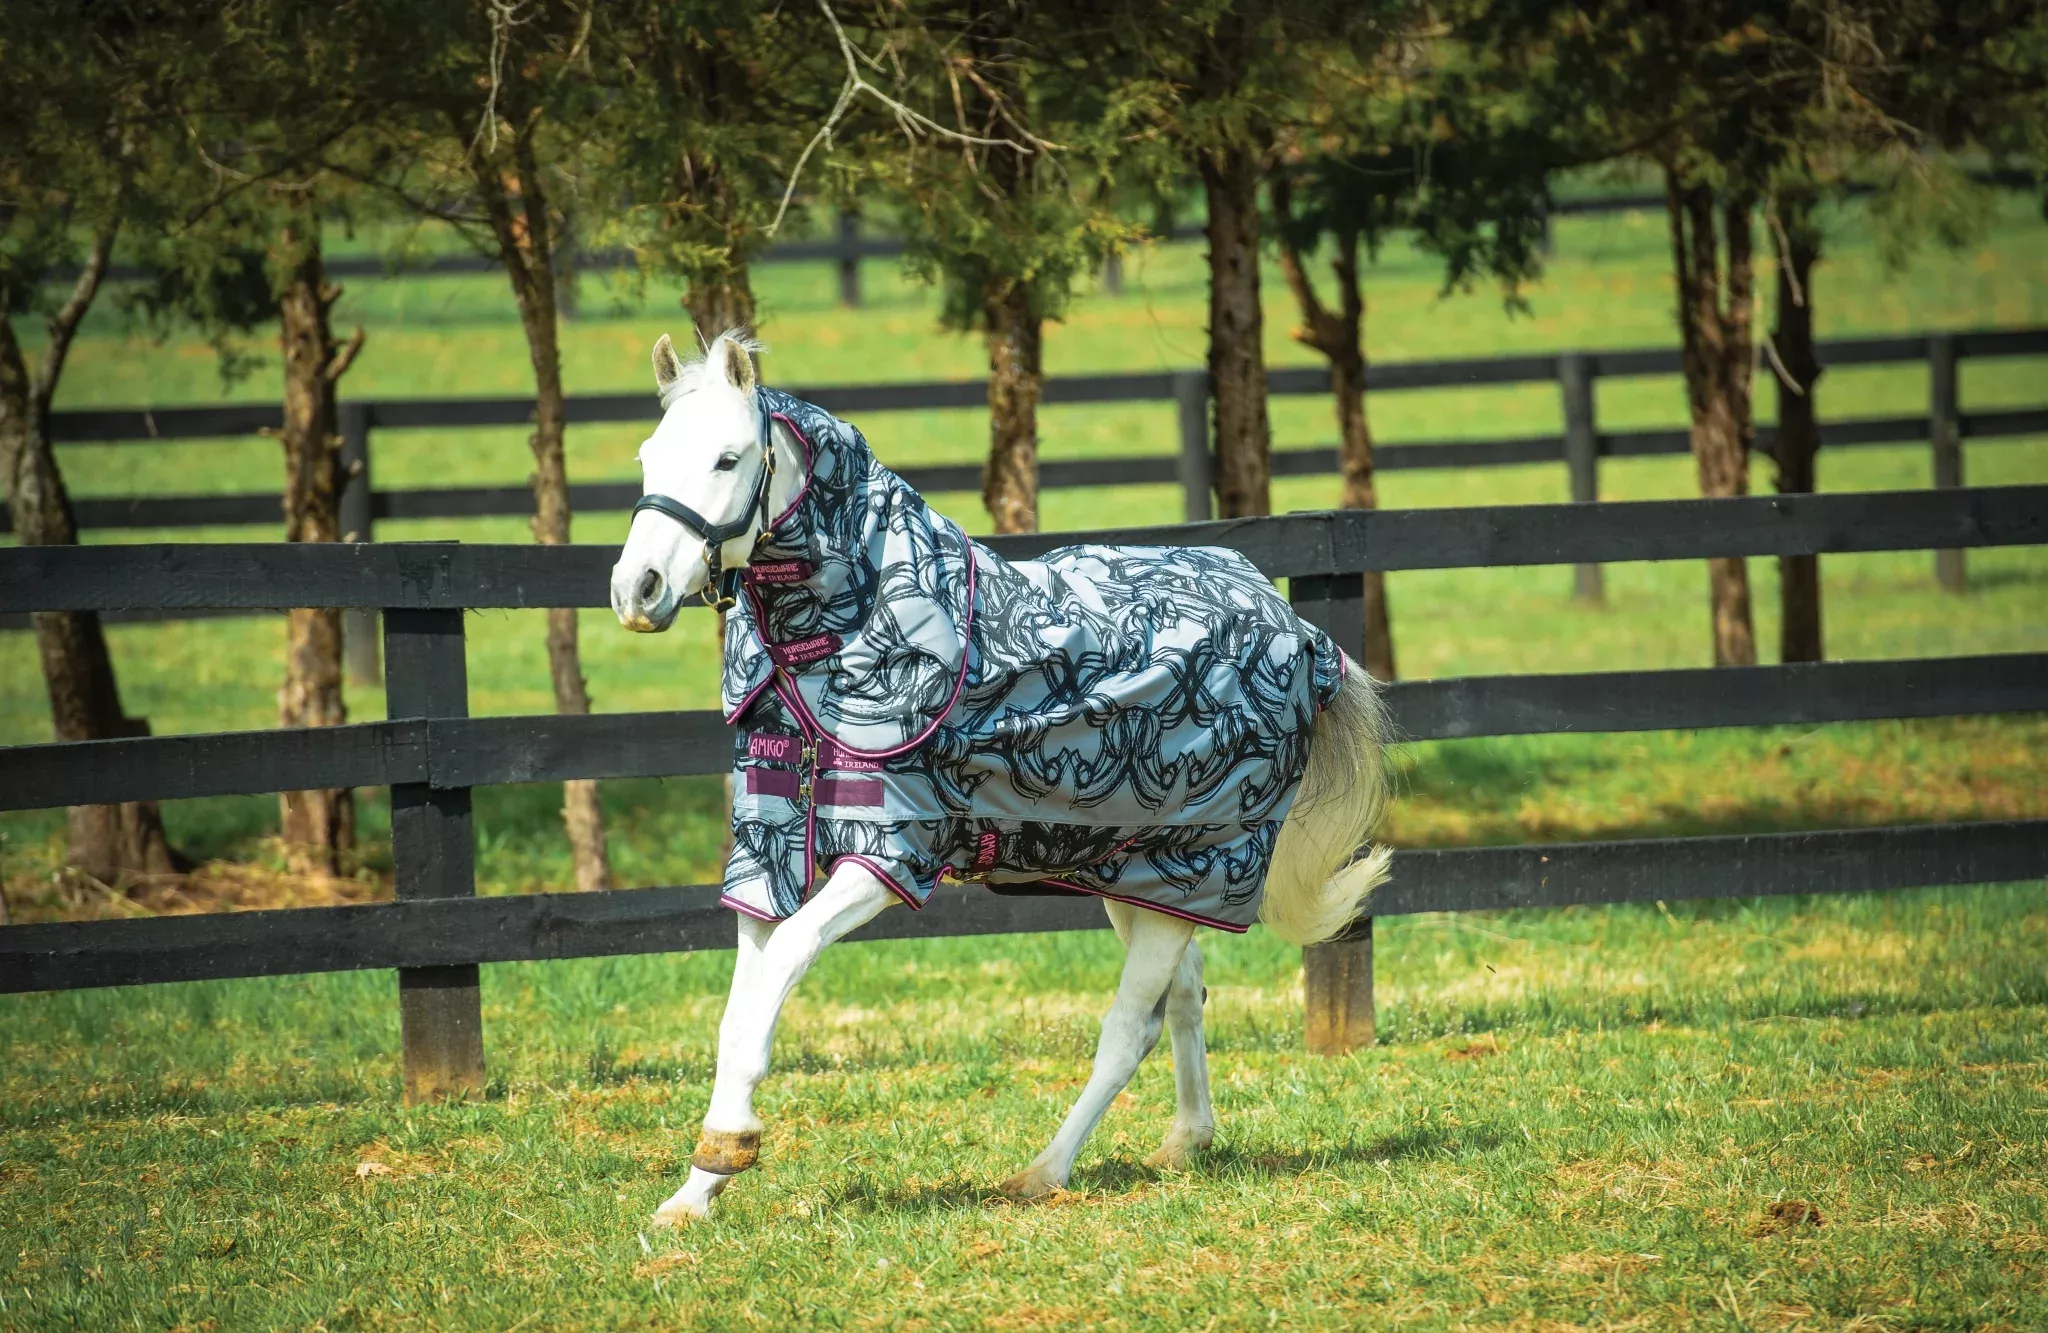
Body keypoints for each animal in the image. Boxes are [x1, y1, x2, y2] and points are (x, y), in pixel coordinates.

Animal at [610, 329, 1391, 1225]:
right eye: (649, 456)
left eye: (727, 458)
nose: (637, 590)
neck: (840, 646)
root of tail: (1298, 629)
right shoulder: (764, 853)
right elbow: (741, 1007)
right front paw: (695, 1190)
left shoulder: (887, 854)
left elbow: (779, 972)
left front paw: (729, 1146)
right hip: (1141, 877)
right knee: (1183, 998)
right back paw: (1184, 1142)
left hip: (1197, 868)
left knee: (1130, 1028)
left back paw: (1044, 1171)